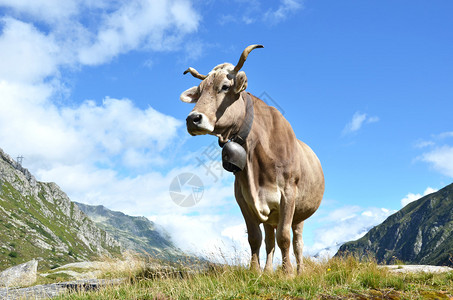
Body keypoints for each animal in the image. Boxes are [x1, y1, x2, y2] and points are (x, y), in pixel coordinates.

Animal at [178, 45, 324, 274]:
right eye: (199, 92)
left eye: (225, 87)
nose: (192, 119)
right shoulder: (243, 198)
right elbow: (255, 238)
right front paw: (255, 272)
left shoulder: (288, 194)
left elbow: (285, 237)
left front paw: (288, 273)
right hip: (271, 215)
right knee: (270, 240)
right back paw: (268, 272)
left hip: (299, 214)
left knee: (297, 242)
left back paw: (299, 271)